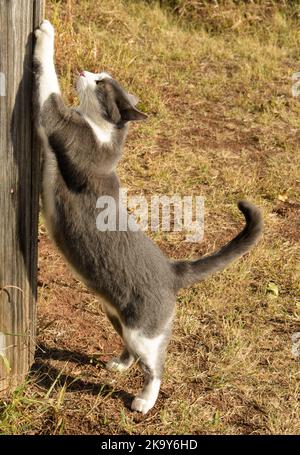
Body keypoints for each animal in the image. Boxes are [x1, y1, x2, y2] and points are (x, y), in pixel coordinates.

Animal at [34, 20, 262, 414]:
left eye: (101, 83)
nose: (84, 71)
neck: (101, 132)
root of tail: (173, 270)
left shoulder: (60, 123)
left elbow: (48, 86)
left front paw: (46, 34)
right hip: (114, 312)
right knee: (132, 350)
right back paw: (120, 363)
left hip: (144, 331)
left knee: (156, 365)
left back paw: (144, 400)